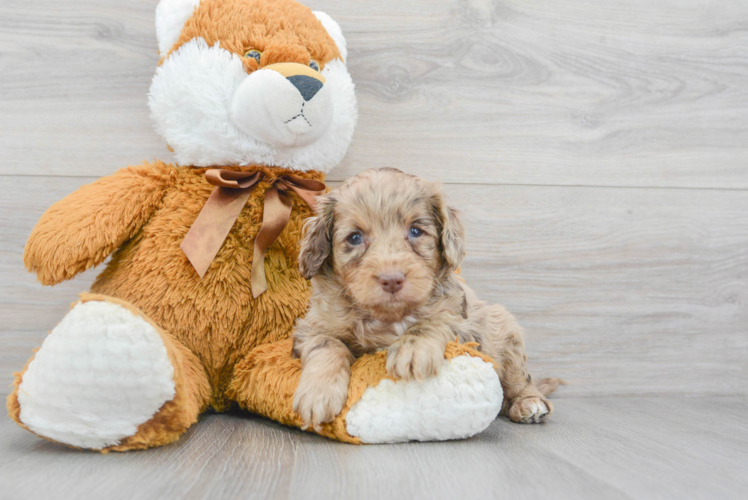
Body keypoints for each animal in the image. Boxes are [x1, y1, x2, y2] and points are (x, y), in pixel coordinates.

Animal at [290, 167, 560, 430]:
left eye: (415, 231)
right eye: (355, 237)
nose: (392, 280)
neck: (389, 317)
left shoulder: (462, 324)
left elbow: (432, 321)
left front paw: (412, 349)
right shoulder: (313, 326)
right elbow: (327, 344)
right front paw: (317, 394)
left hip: (505, 331)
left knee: (518, 379)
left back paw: (529, 403)